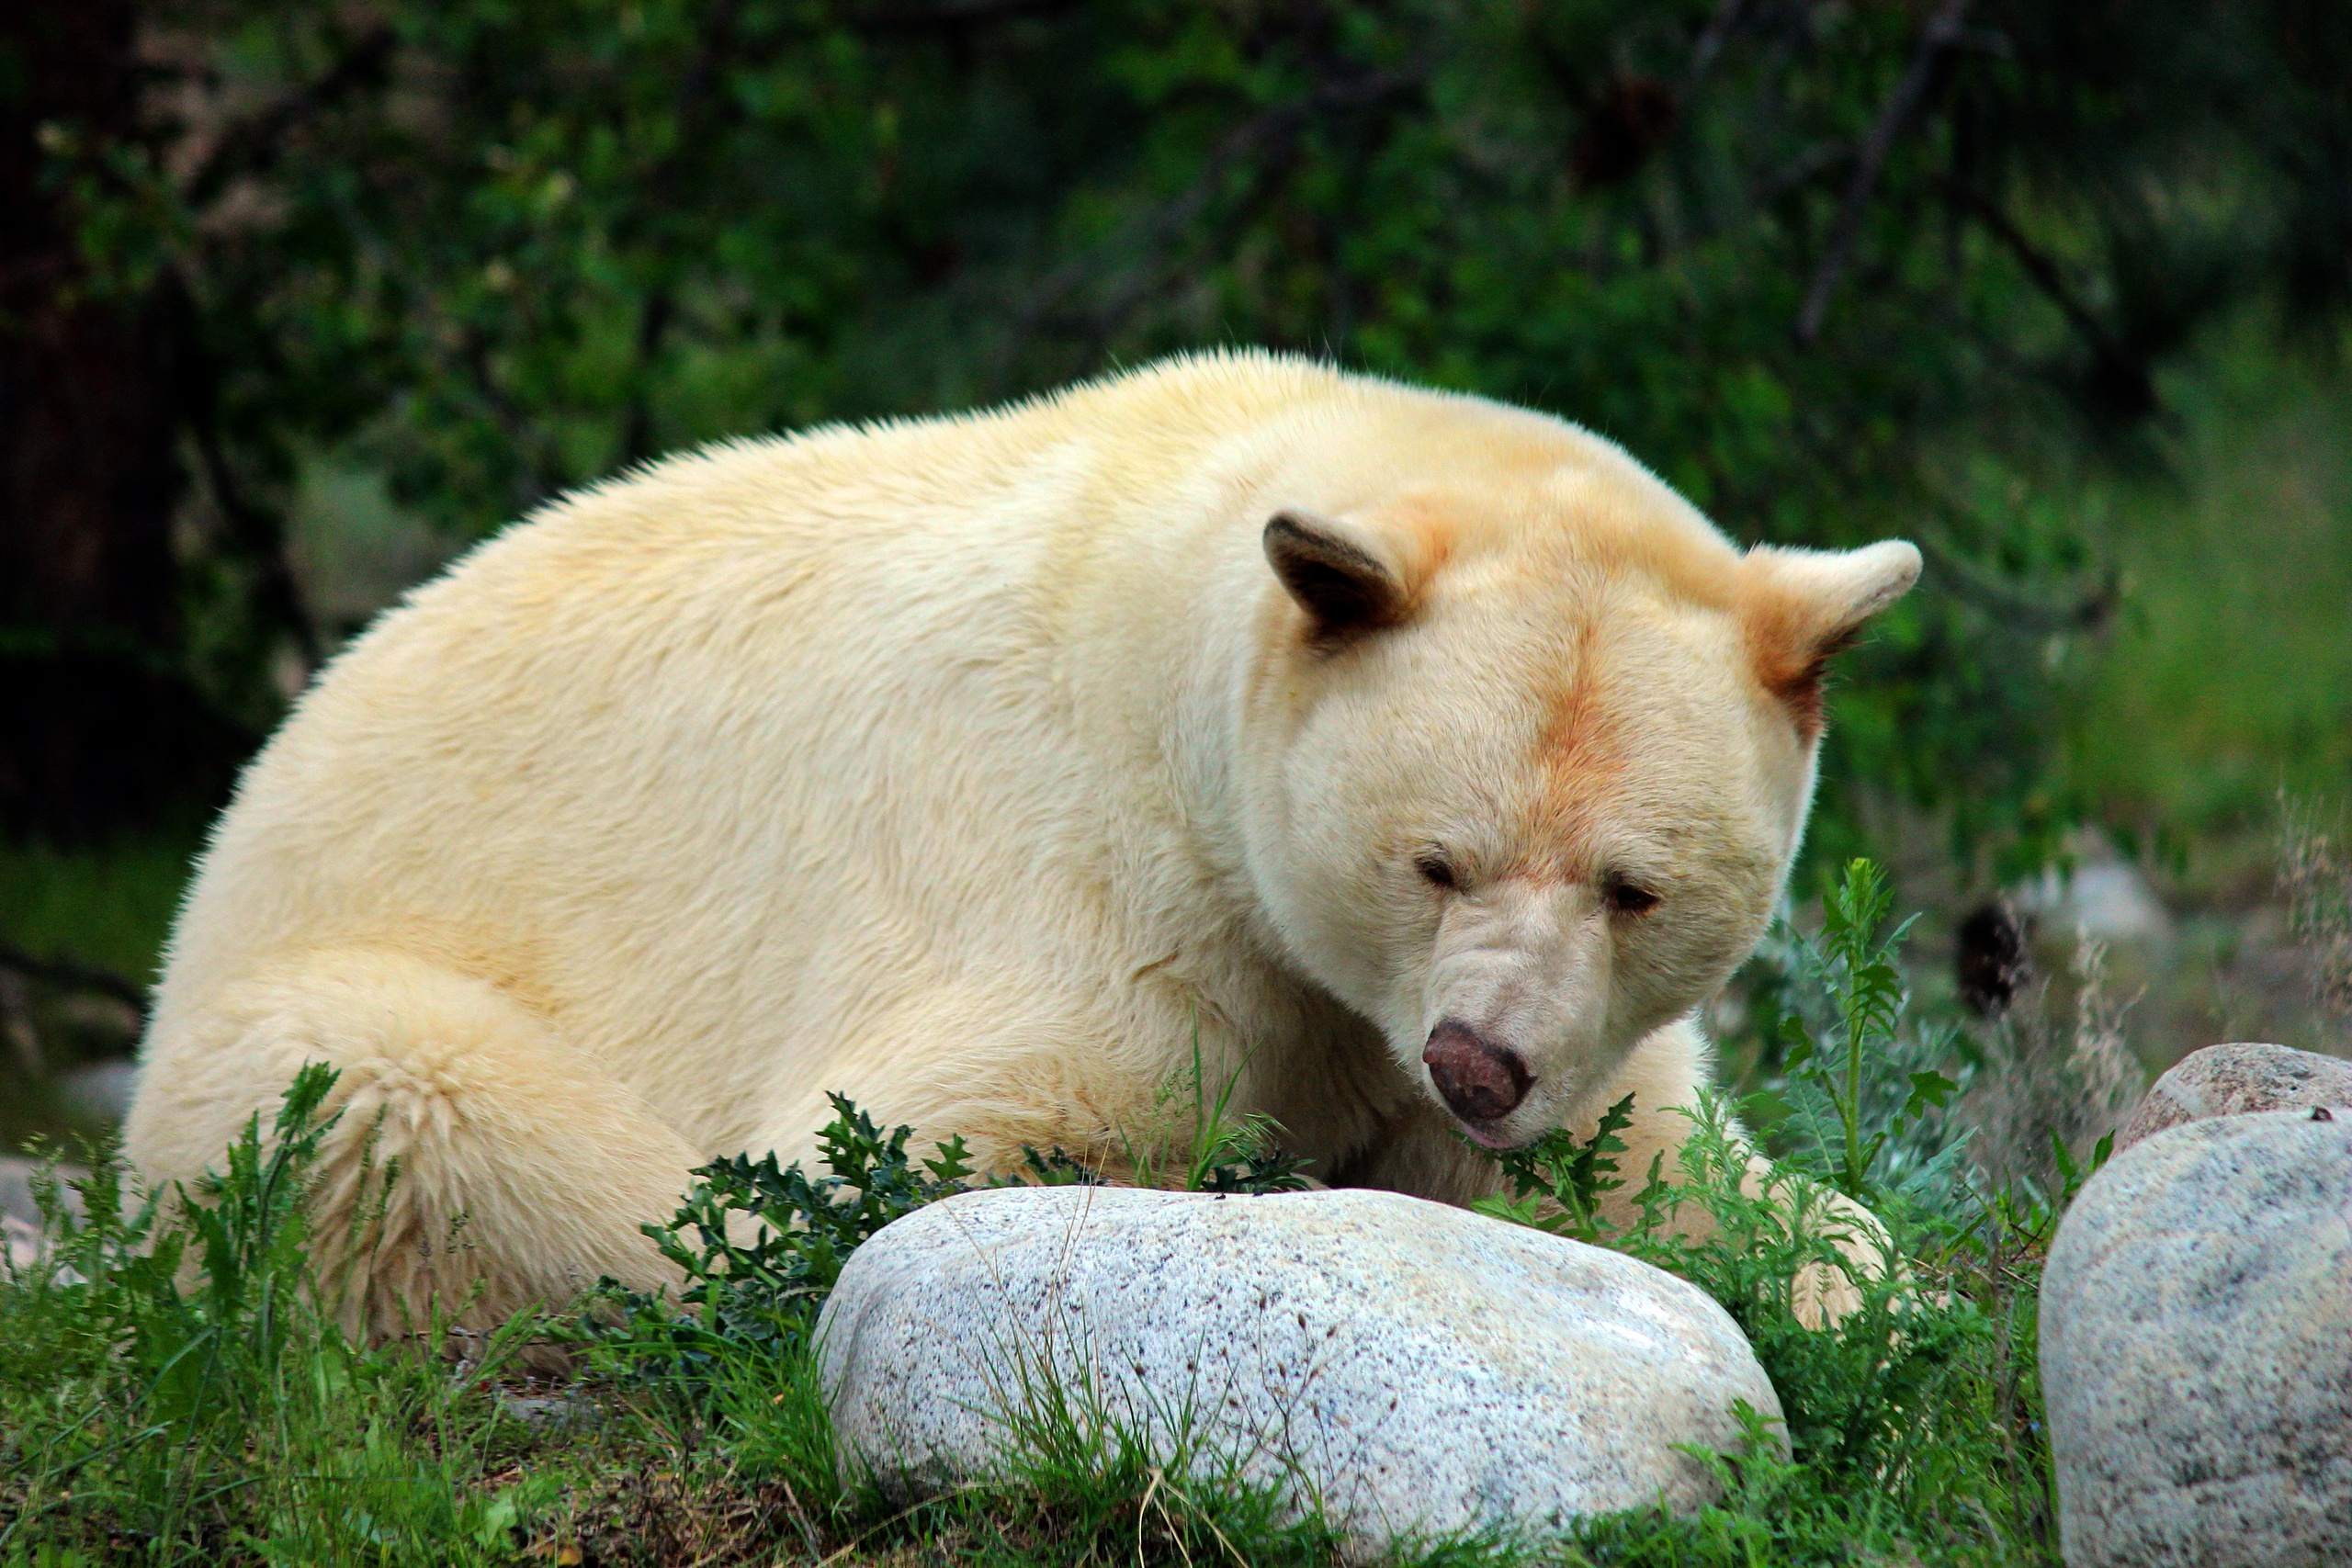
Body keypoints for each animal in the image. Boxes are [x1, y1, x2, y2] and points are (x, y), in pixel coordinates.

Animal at [123, 351, 1919, 1336]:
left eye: (1635, 885)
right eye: (1436, 857)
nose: (1480, 1064)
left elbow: (1672, 1161)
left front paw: (1860, 1284)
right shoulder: (1065, 877)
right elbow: (900, 1155)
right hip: (313, 1023)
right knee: (404, 1102)